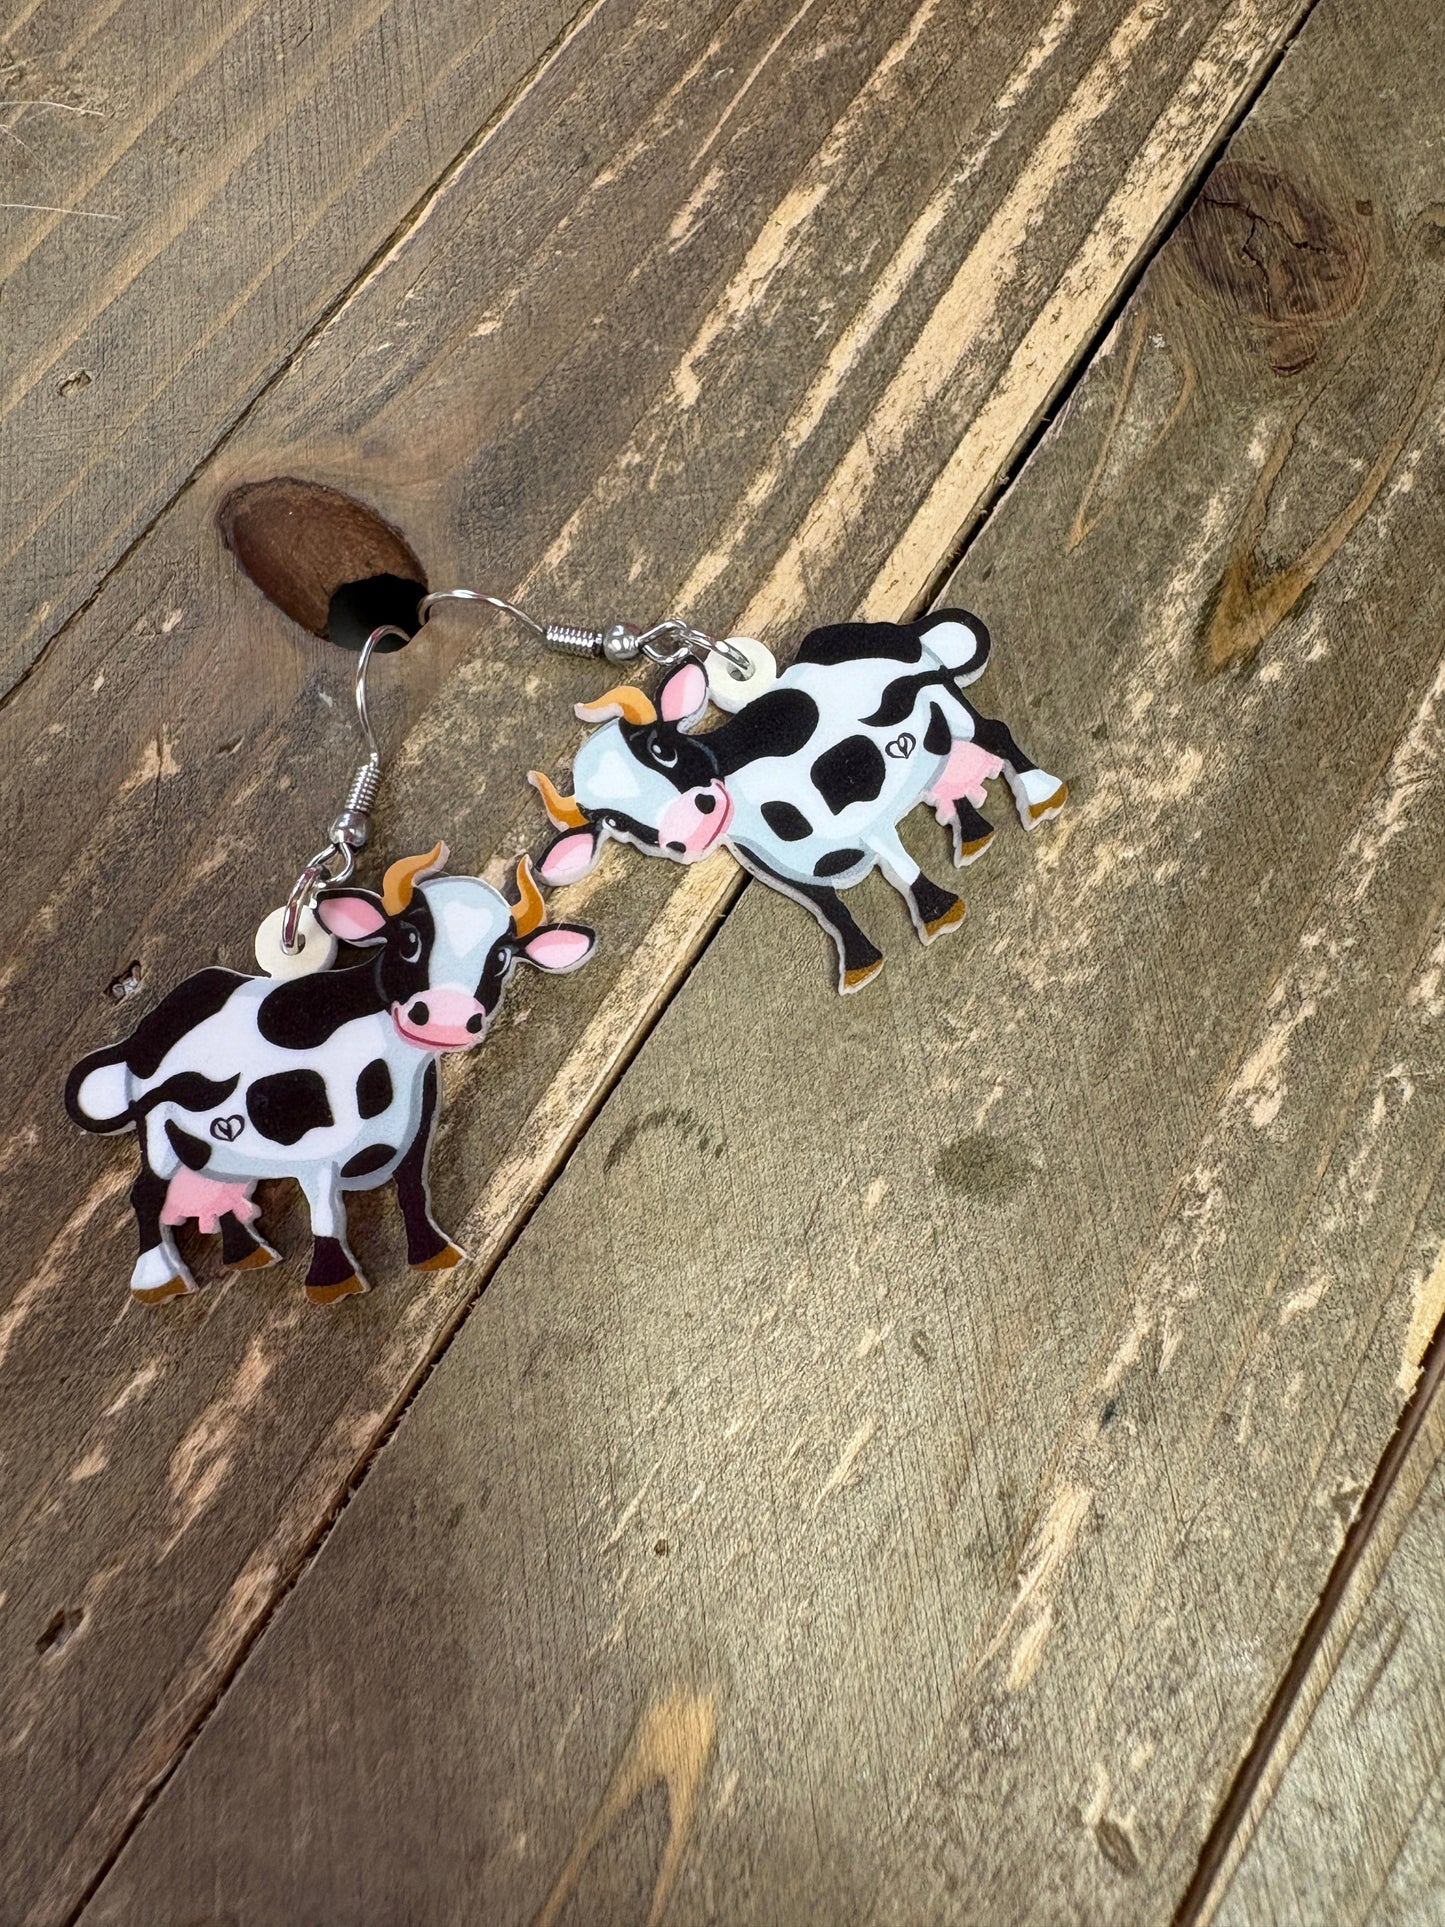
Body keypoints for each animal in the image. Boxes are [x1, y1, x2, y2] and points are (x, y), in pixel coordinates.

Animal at [65, 846, 595, 1304]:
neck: (388, 1069)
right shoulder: (317, 1158)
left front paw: (433, 1254)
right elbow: (326, 1218)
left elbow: (413, 1193)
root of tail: (143, 1034)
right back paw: (160, 1279)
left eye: (502, 958)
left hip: (214, 1148)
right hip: (156, 1133)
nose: (446, 1017)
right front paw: (332, 1281)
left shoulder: (415, 1134)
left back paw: (249, 1254)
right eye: (408, 940)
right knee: (145, 1195)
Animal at [529, 610, 1066, 992]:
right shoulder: (786, 867)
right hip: (934, 737)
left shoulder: (865, 824)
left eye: (663, 748)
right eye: (613, 822)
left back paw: (1041, 797)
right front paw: (860, 966)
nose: (690, 827)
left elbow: (901, 868)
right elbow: (832, 909)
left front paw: (938, 912)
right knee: (942, 778)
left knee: (995, 734)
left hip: (948, 701)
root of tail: (894, 631)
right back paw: (974, 837)